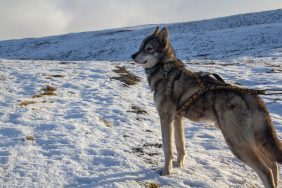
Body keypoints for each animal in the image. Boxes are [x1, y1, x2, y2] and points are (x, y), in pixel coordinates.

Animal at [131, 26, 282, 188]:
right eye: (140, 46)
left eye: (148, 48)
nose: (132, 56)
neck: (165, 70)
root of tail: (252, 97)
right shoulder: (177, 118)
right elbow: (180, 146)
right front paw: (179, 165)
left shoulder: (166, 118)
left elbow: (168, 149)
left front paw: (166, 172)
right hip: (252, 141)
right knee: (273, 165)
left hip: (237, 143)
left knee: (266, 170)